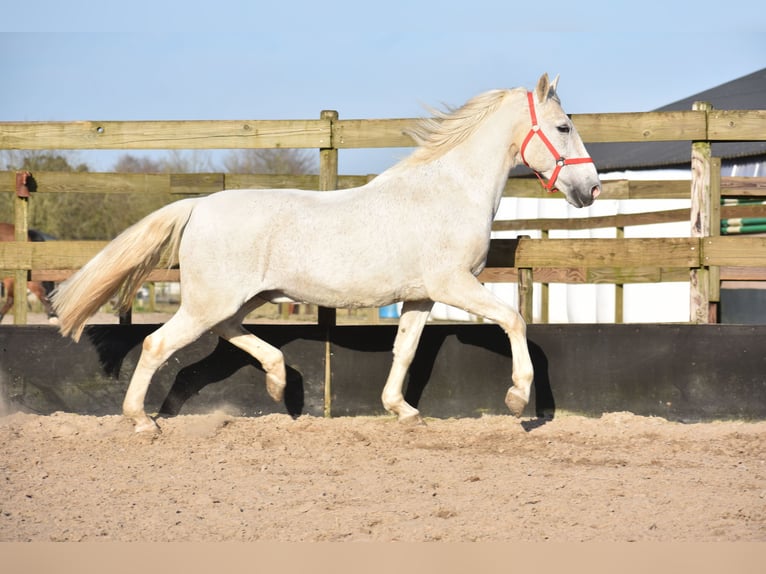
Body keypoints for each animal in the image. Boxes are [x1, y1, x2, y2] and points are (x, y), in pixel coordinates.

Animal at [55, 73, 608, 432]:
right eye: (563, 127)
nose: (592, 189)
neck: (449, 190)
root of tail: (198, 206)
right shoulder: (453, 283)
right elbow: (514, 320)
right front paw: (517, 400)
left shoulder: (422, 295)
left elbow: (406, 349)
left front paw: (402, 410)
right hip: (210, 301)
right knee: (157, 344)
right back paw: (141, 421)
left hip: (240, 298)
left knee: (229, 331)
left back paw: (279, 384)